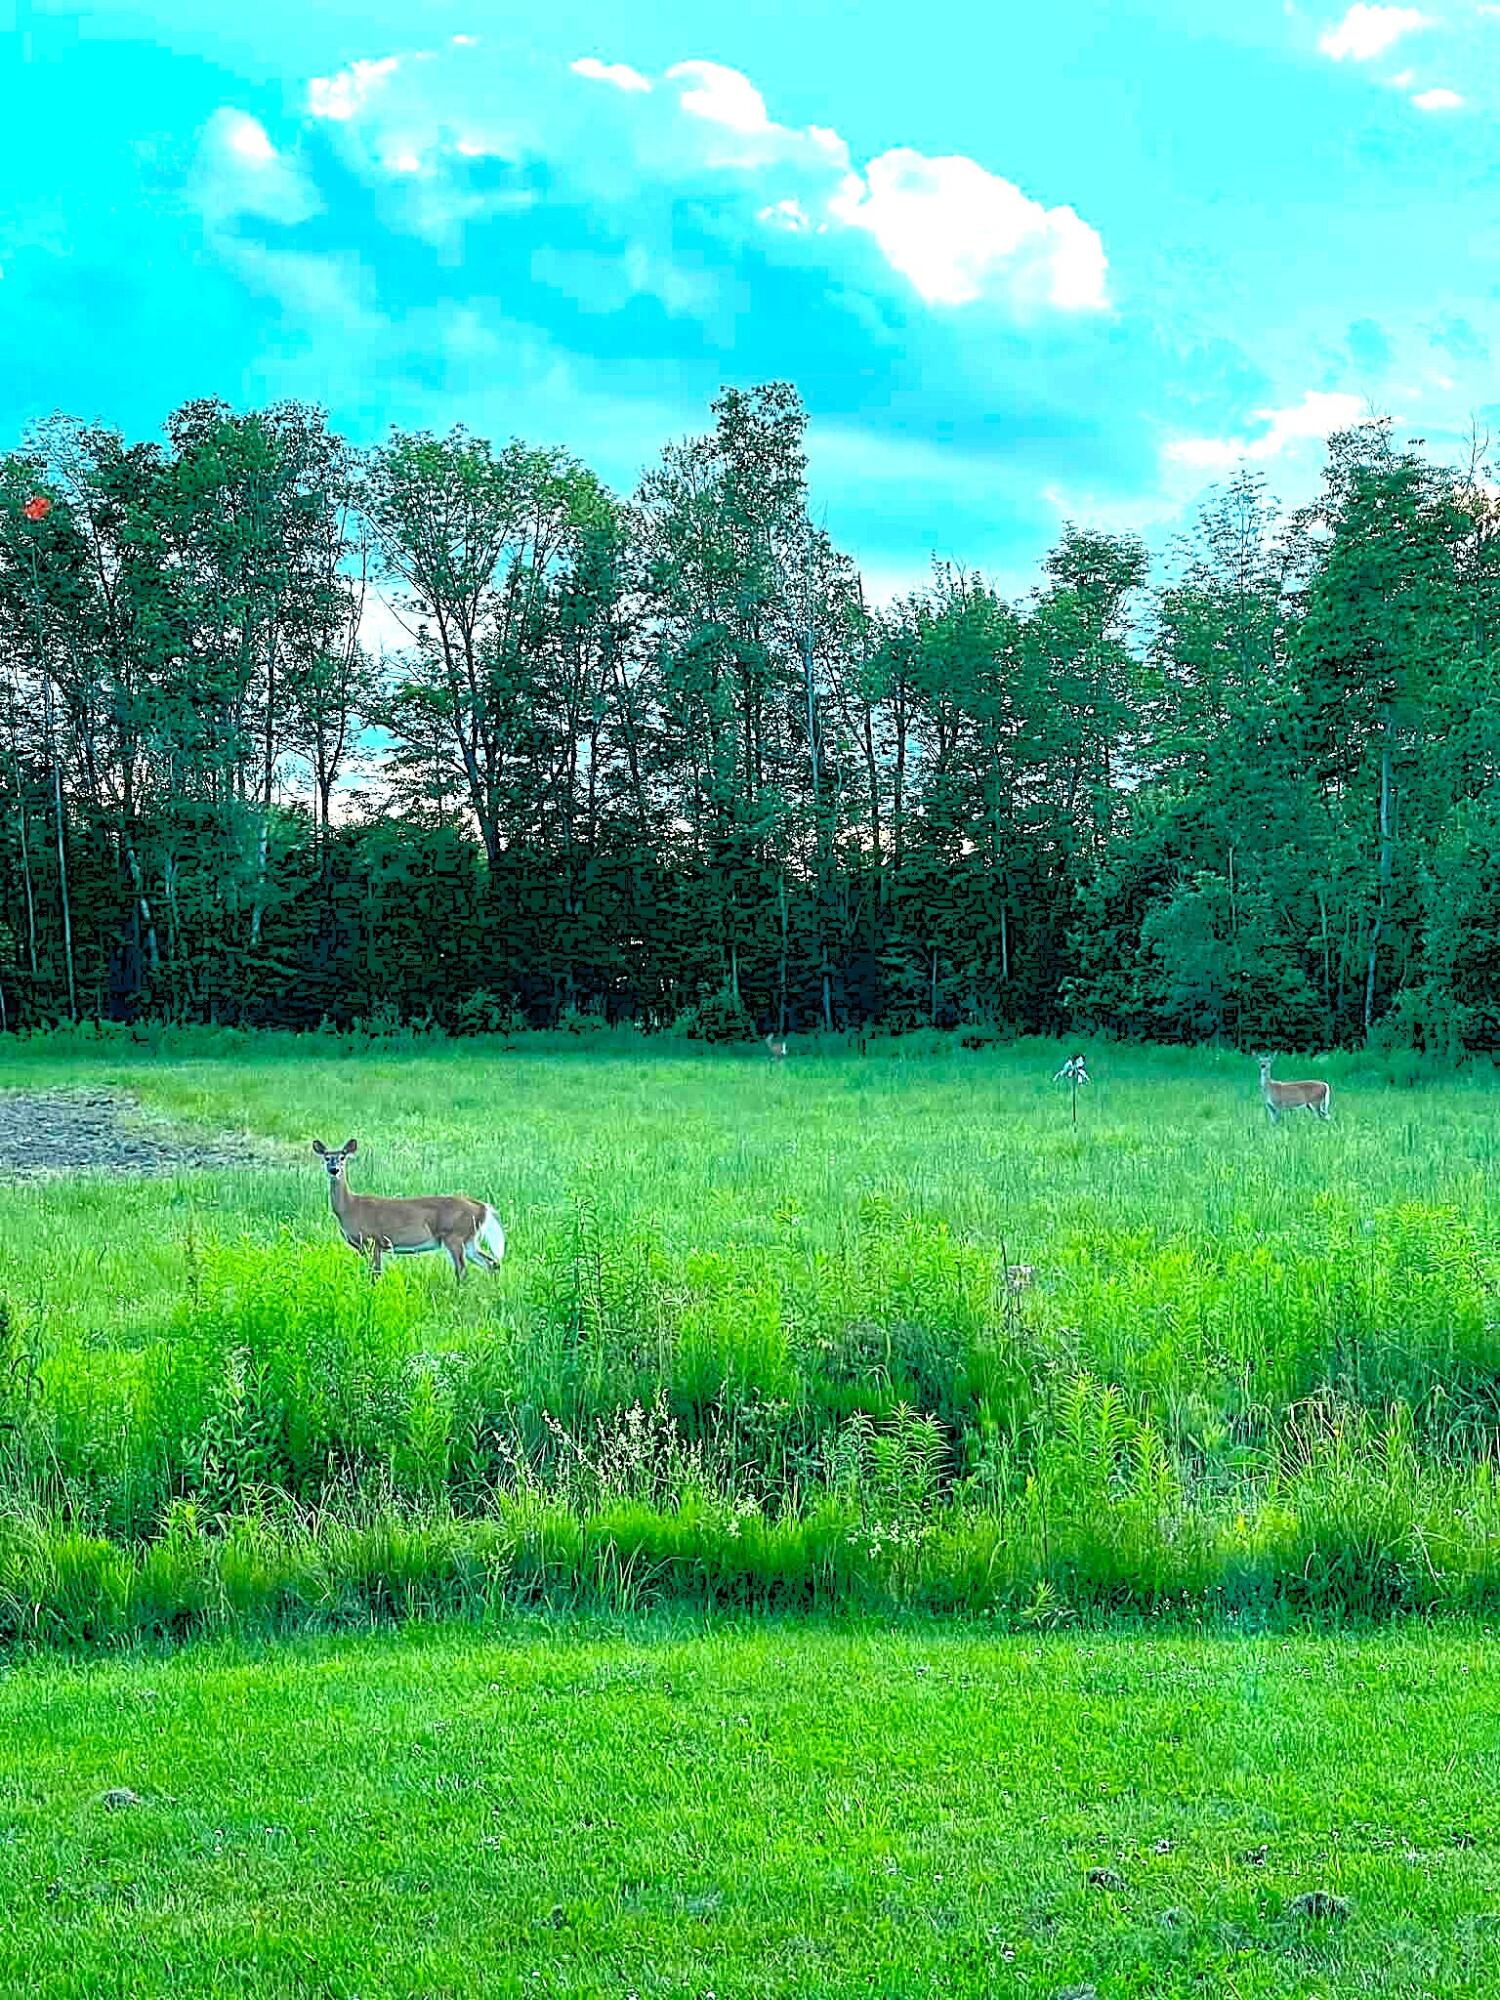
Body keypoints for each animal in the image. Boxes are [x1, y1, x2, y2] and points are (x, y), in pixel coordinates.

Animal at [311, 1139, 506, 1280]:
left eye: (342, 1157)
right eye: (326, 1158)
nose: (334, 1169)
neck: (350, 1207)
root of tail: (482, 1207)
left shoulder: (373, 1241)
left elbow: (375, 1275)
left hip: (454, 1235)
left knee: (463, 1271)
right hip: (469, 1239)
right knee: (492, 1263)